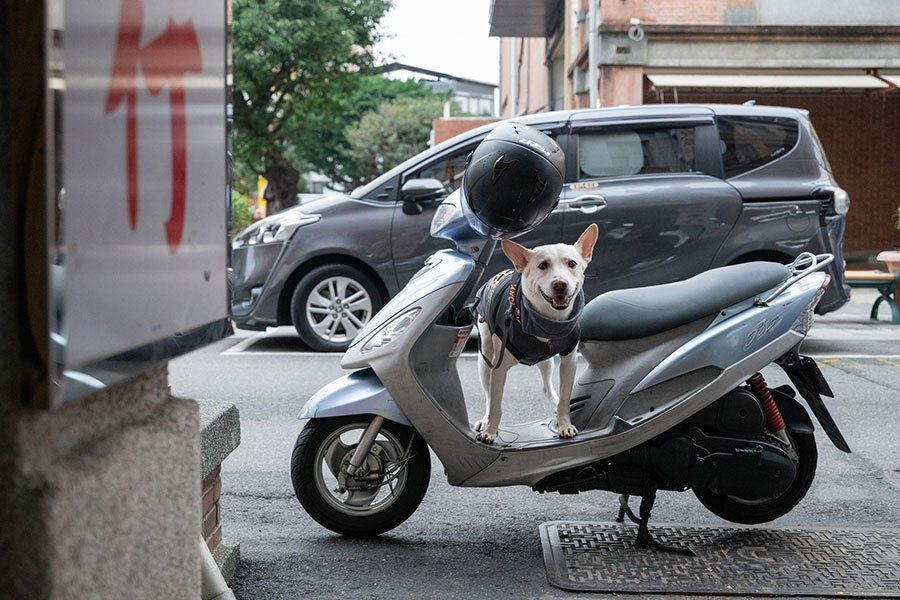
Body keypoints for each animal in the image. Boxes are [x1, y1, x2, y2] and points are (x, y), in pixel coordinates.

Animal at [472, 223, 596, 442]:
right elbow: (495, 404)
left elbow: (565, 397)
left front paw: (565, 424)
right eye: (542, 265)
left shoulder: (569, 360)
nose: (560, 284)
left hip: (546, 361)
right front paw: (490, 431)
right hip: (485, 354)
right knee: (487, 394)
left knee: (546, 387)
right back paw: (484, 421)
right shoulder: (499, 368)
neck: (548, 321)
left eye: (572, 263)